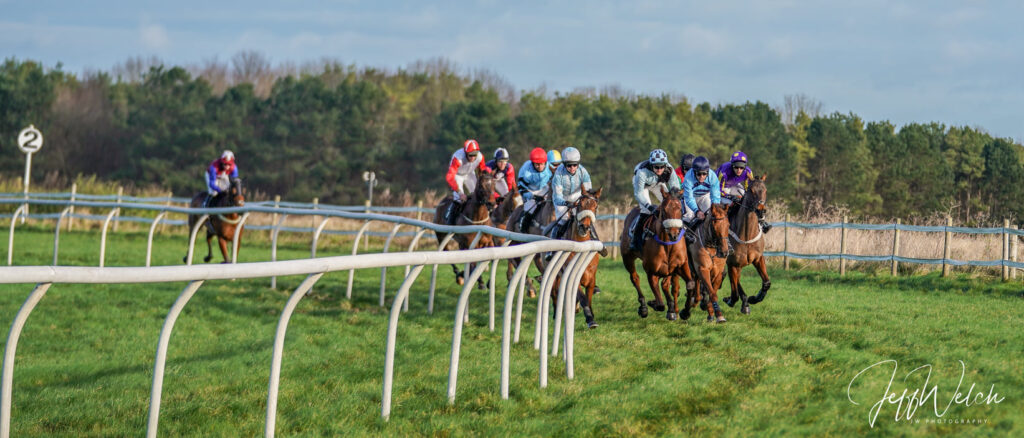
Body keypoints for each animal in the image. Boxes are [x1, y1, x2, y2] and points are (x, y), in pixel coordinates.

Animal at [540, 186, 602, 327]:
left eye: (595, 206)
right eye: (579, 205)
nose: (584, 227)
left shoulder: (591, 277)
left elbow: (588, 297)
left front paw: (589, 313)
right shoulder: (572, 275)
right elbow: (582, 297)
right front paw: (590, 319)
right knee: (554, 292)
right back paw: (556, 313)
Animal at [618, 186, 692, 319]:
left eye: (680, 209)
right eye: (664, 210)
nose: (674, 234)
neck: (668, 245)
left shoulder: (680, 266)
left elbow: (690, 284)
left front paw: (685, 311)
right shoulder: (651, 271)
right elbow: (660, 304)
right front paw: (654, 303)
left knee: (665, 284)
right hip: (627, 258)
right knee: (635, 278)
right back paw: (643, 307)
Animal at [724, 176, 770, 313]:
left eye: (765, 190)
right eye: (751, 190)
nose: (761, 210)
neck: (746, 235)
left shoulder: (758, 258)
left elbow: (767, 283)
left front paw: (753, 298)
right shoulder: (732, 263)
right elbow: (734, 294)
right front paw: (732, 300)